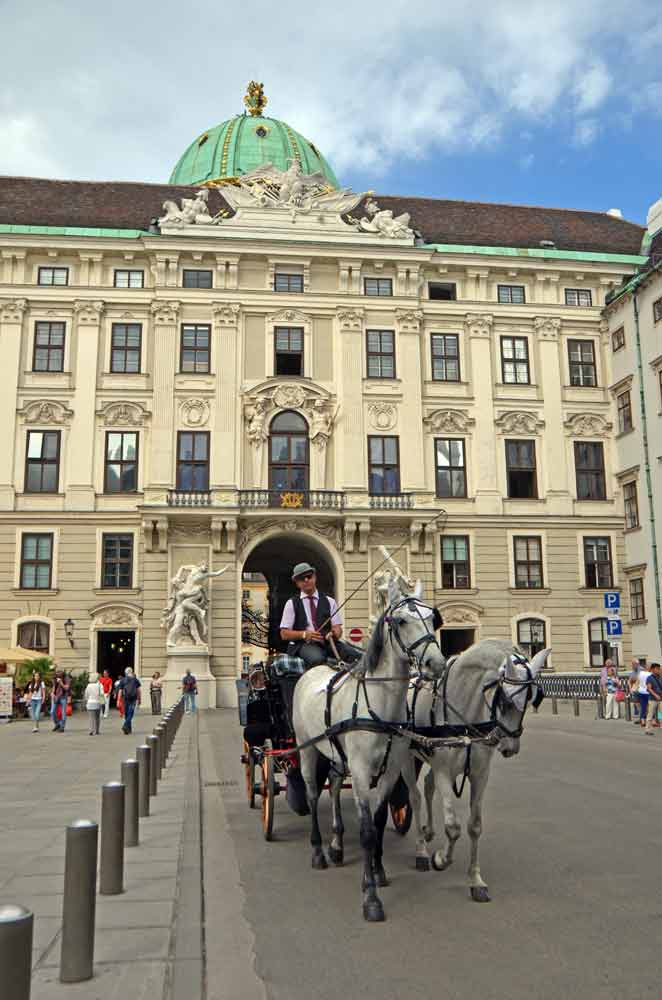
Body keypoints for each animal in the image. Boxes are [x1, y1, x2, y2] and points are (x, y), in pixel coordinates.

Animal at [294, 576, 446, 924]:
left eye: (432, 618)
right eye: (401, 621)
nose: (437, 664)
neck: (380, 705)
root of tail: (313, 669)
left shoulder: (390, 770)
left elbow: (377, 823)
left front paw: (378, 871)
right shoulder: (363, 772)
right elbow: (365, 831)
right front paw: (371, 898)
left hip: (337, 756)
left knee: (335, 786)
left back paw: (336, 844)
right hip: (306, 750)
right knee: (312, 794)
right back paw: (319, 850)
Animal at [404, 640, 548, 908]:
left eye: (532, 699)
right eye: (505, 700)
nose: (510, 747)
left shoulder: (480, 775)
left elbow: (475, 826)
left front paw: (475, 881)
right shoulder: (443, 771)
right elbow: (453, 827)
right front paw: (441, 859)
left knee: (427, 786)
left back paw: (428, 832)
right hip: (405, 759)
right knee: (415, 797)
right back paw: (421, 850)